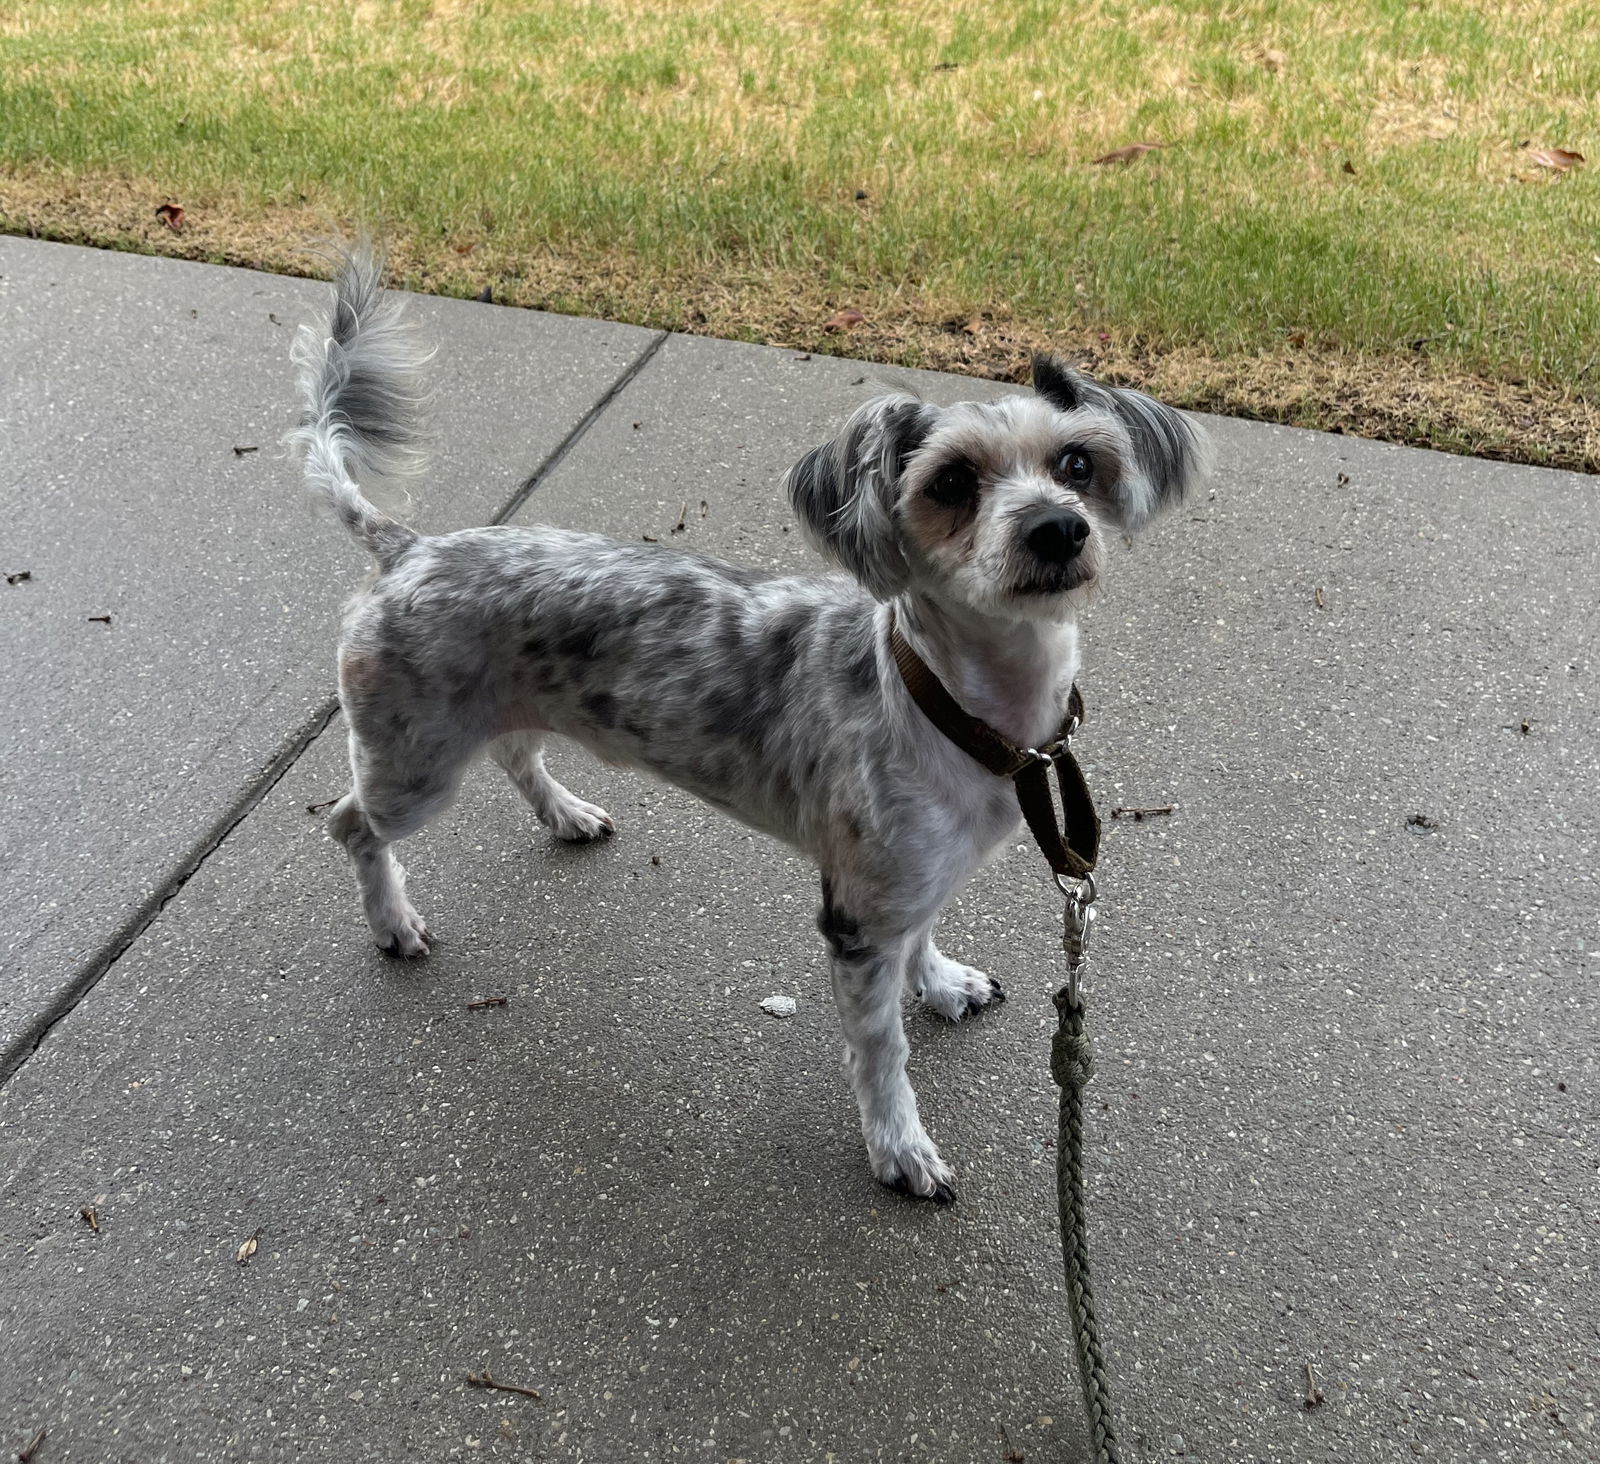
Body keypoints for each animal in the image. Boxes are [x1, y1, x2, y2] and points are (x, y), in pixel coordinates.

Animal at [291, 249, 1209, 1203]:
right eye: (953, 482)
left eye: (1077, 462)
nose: (1058, 529)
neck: (949, 706)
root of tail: (408, 548)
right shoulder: (860, 917)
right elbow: (881, 1052)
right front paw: (899, 1145)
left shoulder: (909, 885)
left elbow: (922, 943)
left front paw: (941, 982)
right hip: (415, 763)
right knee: (352, 824)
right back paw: (394, 923)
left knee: (515, 751)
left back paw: (565, 813)